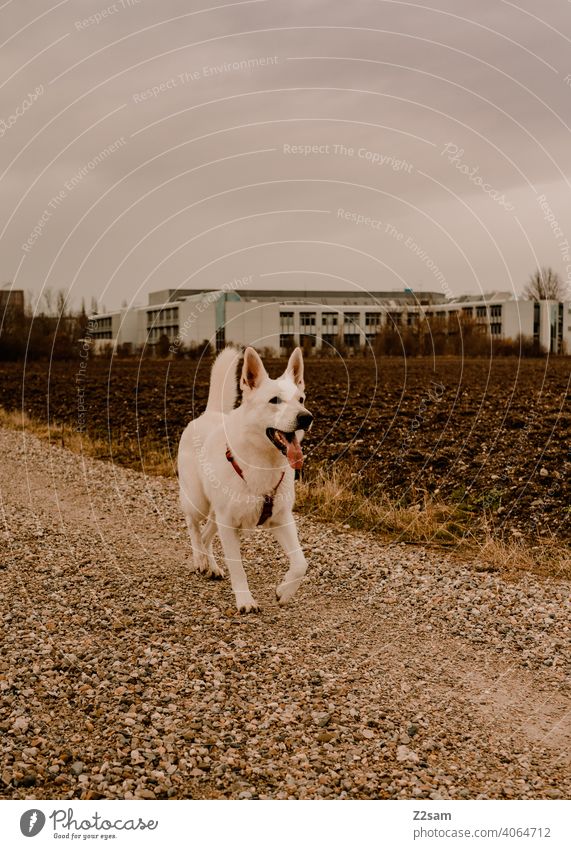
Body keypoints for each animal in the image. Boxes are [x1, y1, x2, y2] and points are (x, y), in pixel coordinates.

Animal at [178, 342, 316, 612]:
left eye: (301, 399)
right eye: (275, 400)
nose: (306, 417)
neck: (264, 461)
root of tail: (209, 413)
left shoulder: (281, 519)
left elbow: (300, 563)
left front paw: (284, 591)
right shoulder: (229, 524)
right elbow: (238, 567)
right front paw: (245, 601)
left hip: (218, 515)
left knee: (207, 535)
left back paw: (211, 566)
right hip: (199, 501)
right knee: (194, 527)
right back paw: (199, 559)